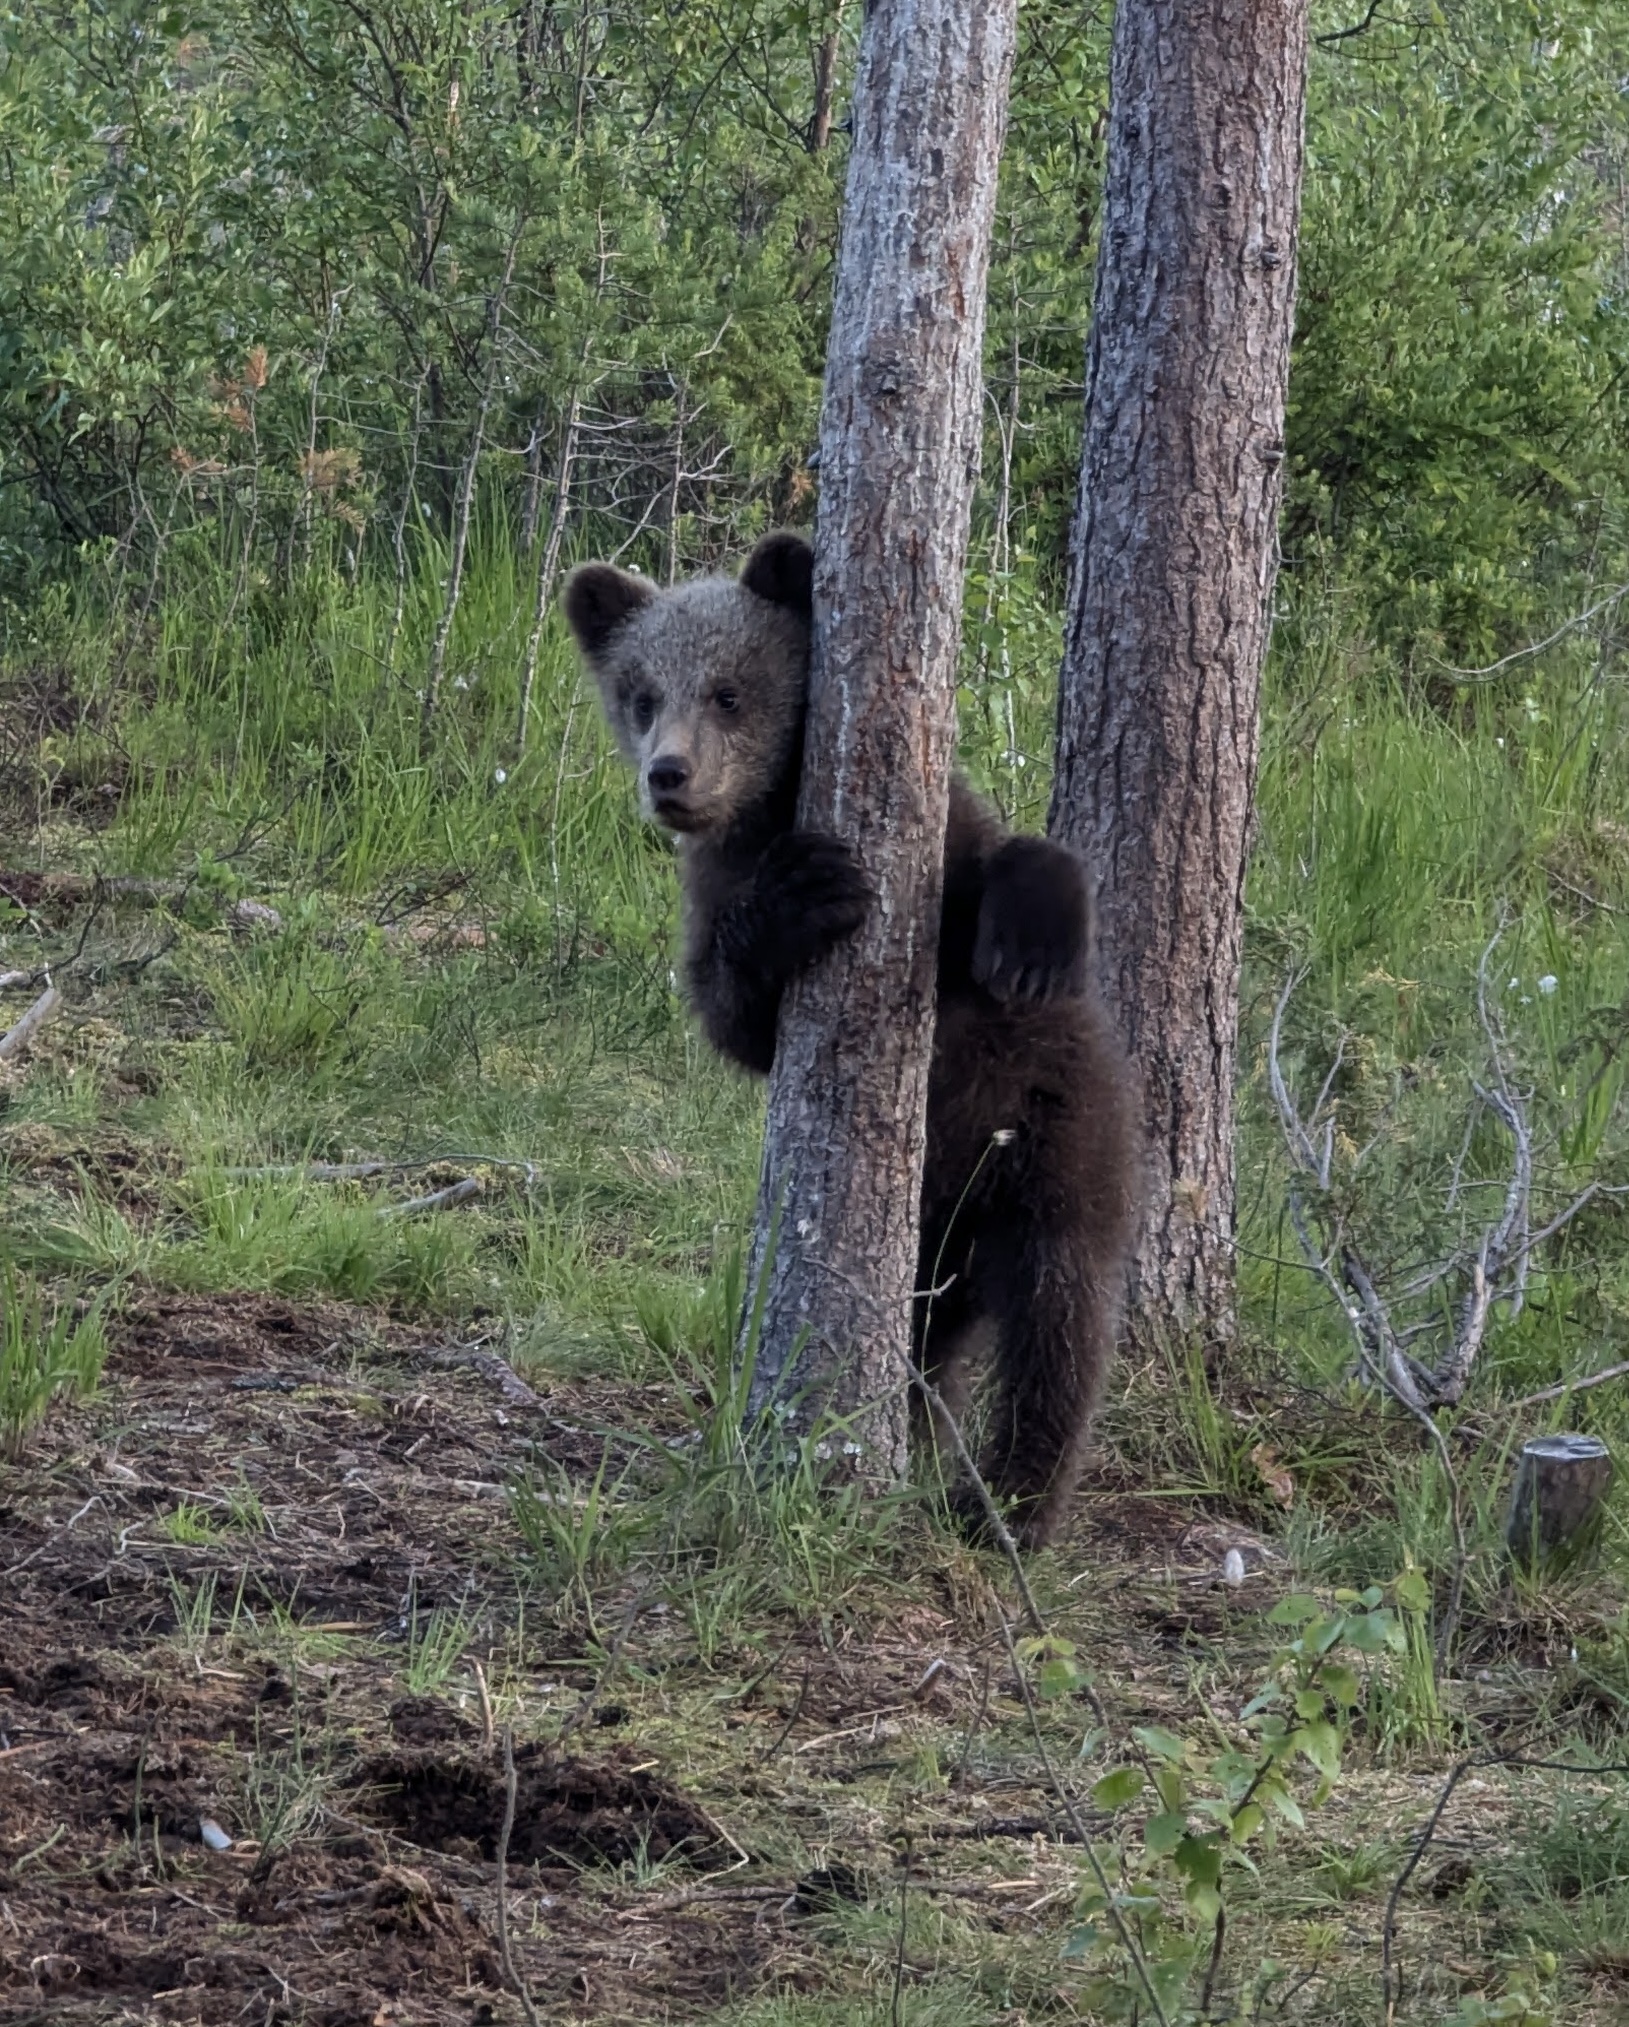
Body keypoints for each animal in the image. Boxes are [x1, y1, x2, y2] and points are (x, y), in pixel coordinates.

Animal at [564, 530, 1139, 1546]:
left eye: (728, 690)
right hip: (931, 1242)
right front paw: (802, 894)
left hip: (1054, 1148)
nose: (669, 774)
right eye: (640, 693)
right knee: (929, 1341)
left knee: (1059, 1319)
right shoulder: (714, 887)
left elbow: (1012, 867)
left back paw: (1007, 1501)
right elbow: (733, 1012)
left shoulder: (941, 864)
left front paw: (1031, 937)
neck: (771, 808)